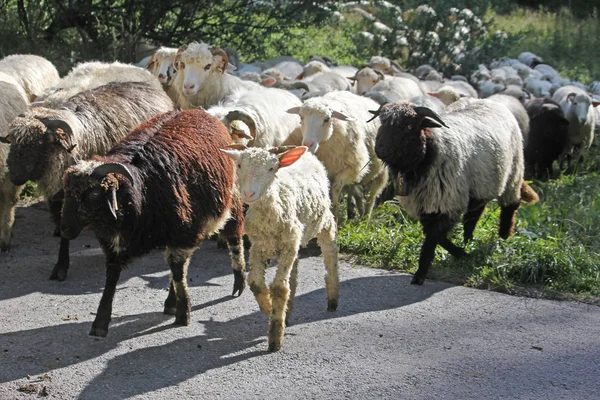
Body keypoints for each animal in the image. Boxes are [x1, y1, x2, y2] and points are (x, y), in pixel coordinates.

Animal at [2, 81, 173, 282]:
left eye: (36, 143)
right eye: (13, 142)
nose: (14, 176)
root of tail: (149, 85)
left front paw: (61, 267)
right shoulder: (61, 198)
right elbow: (64, 227)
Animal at [60, 108, 246, 336]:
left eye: (94, 194)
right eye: (67, 191)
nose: (64, 229)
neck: (140, 191)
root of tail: (199, 111)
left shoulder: (184, 233)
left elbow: (178, 271)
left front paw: (183, 313)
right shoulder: (116, 246)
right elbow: (112, 277)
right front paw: (100, 323)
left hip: (231, 199)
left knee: (234, 237)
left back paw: (238, 282)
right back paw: (171, 302)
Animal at [221, 145, 342, 352]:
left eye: (272, 168)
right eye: (239, 165)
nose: (249, 193)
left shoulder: (287, 244)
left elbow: (278, 288)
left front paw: (275, 336)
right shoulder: (258, 247)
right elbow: (255, 283)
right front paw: (271, 309)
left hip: (323, 221)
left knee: (330, 253)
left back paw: (333, 299)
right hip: (292, 240)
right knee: (293, 272)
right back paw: (289, 310)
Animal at [288, 90, 390, 222]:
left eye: (327, 119)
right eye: (301, 117)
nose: (308, 144)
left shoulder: (353, 167)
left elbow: (336, 188)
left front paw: (335, 216)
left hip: (380, 172)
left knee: (371, 196)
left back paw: (365, 218)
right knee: (356, 192)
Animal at [370, 101, 540, 286]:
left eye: (408, 126)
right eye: (382, 122)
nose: (380, 149)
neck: (429, 154)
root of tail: (491, 101)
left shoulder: (446, 202)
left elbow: (433, 238)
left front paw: (420, 275)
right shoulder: (427, 205)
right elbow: (437, 237)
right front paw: (462, 254)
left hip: (514, 172)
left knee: (510, 206)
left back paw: (504, 235)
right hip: (481, 185)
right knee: (474, 215)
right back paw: (468, 241)